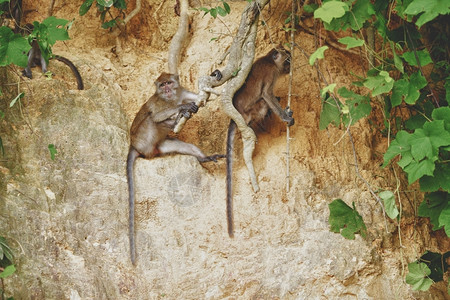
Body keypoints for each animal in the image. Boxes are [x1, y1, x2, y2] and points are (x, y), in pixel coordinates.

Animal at [126, 72, 225, 264]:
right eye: (162, 85)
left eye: (169, 83)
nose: (166, 89)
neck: (172, 98)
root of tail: (135, 146)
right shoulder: (159, 102)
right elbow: (156, 115)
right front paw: (183, 107)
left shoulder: (182, 92)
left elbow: (202, 97)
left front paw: (216, 76)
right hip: (144, 139)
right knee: (152, 119)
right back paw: (177, 118)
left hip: (161, 146)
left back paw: (203, 157)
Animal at [225, 47, 296, 237]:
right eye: (287, 60)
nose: (290, 67)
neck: (269, 60)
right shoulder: (271, 73)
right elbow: (267, 94)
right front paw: (285, 117)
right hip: (253, 110)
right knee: (264, 101)